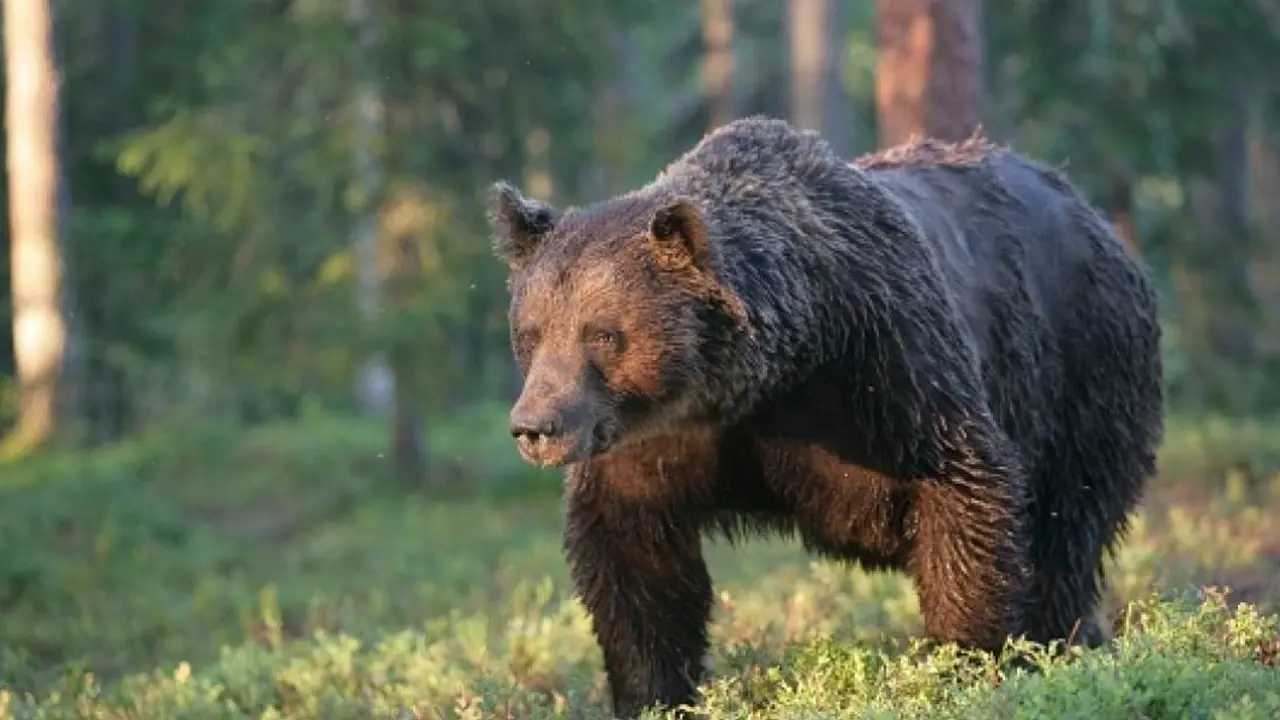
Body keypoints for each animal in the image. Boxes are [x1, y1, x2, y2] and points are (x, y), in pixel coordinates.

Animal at [485, 115, 1164, 719]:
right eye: (531, 331)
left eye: (602, 334)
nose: (535, 426)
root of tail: (1090, 211)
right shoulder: (657, 438)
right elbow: (633, 558)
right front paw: (654, 694)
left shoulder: (886, 364)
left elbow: (964, 490)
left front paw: (966, 660)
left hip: (1086, 370)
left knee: (1068, 525)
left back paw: (1064, 641)